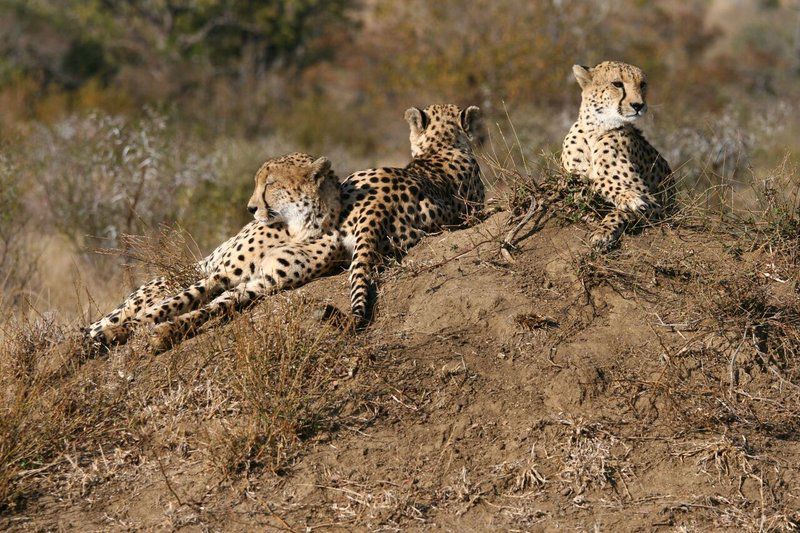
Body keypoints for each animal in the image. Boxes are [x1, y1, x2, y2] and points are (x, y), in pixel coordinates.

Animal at [86, 153, 342, 350]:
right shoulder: (220, 274)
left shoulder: (263, 283)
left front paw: (167, 332)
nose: (250, 208)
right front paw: (121, 331)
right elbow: (176, 301)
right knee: (107, 319)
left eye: (270, 183)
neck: (298, 227)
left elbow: (215, 307)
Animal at [564, 59, 676, 247]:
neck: (595, 130)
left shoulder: (658, 205)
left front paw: (604, 231)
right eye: (617, 84)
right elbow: (584, 183)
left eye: (642, 84)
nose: (638, 105)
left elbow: (603, 187)